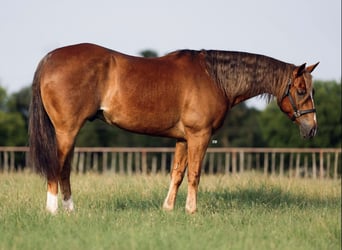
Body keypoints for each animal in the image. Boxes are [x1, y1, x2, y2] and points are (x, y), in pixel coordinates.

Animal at [28, 42, 320, 213]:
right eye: (301, 90)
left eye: (312, 90)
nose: (312, 129)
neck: (214, 77)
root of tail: (49, 58)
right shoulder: (199, 135)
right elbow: (195, 175)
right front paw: (192, 211)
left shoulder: (182, 138)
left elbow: (177, 174)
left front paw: (168, 209)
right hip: (66, 131)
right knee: (57, 167)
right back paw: (53, 211)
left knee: (65, 169)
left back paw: (70, 211)